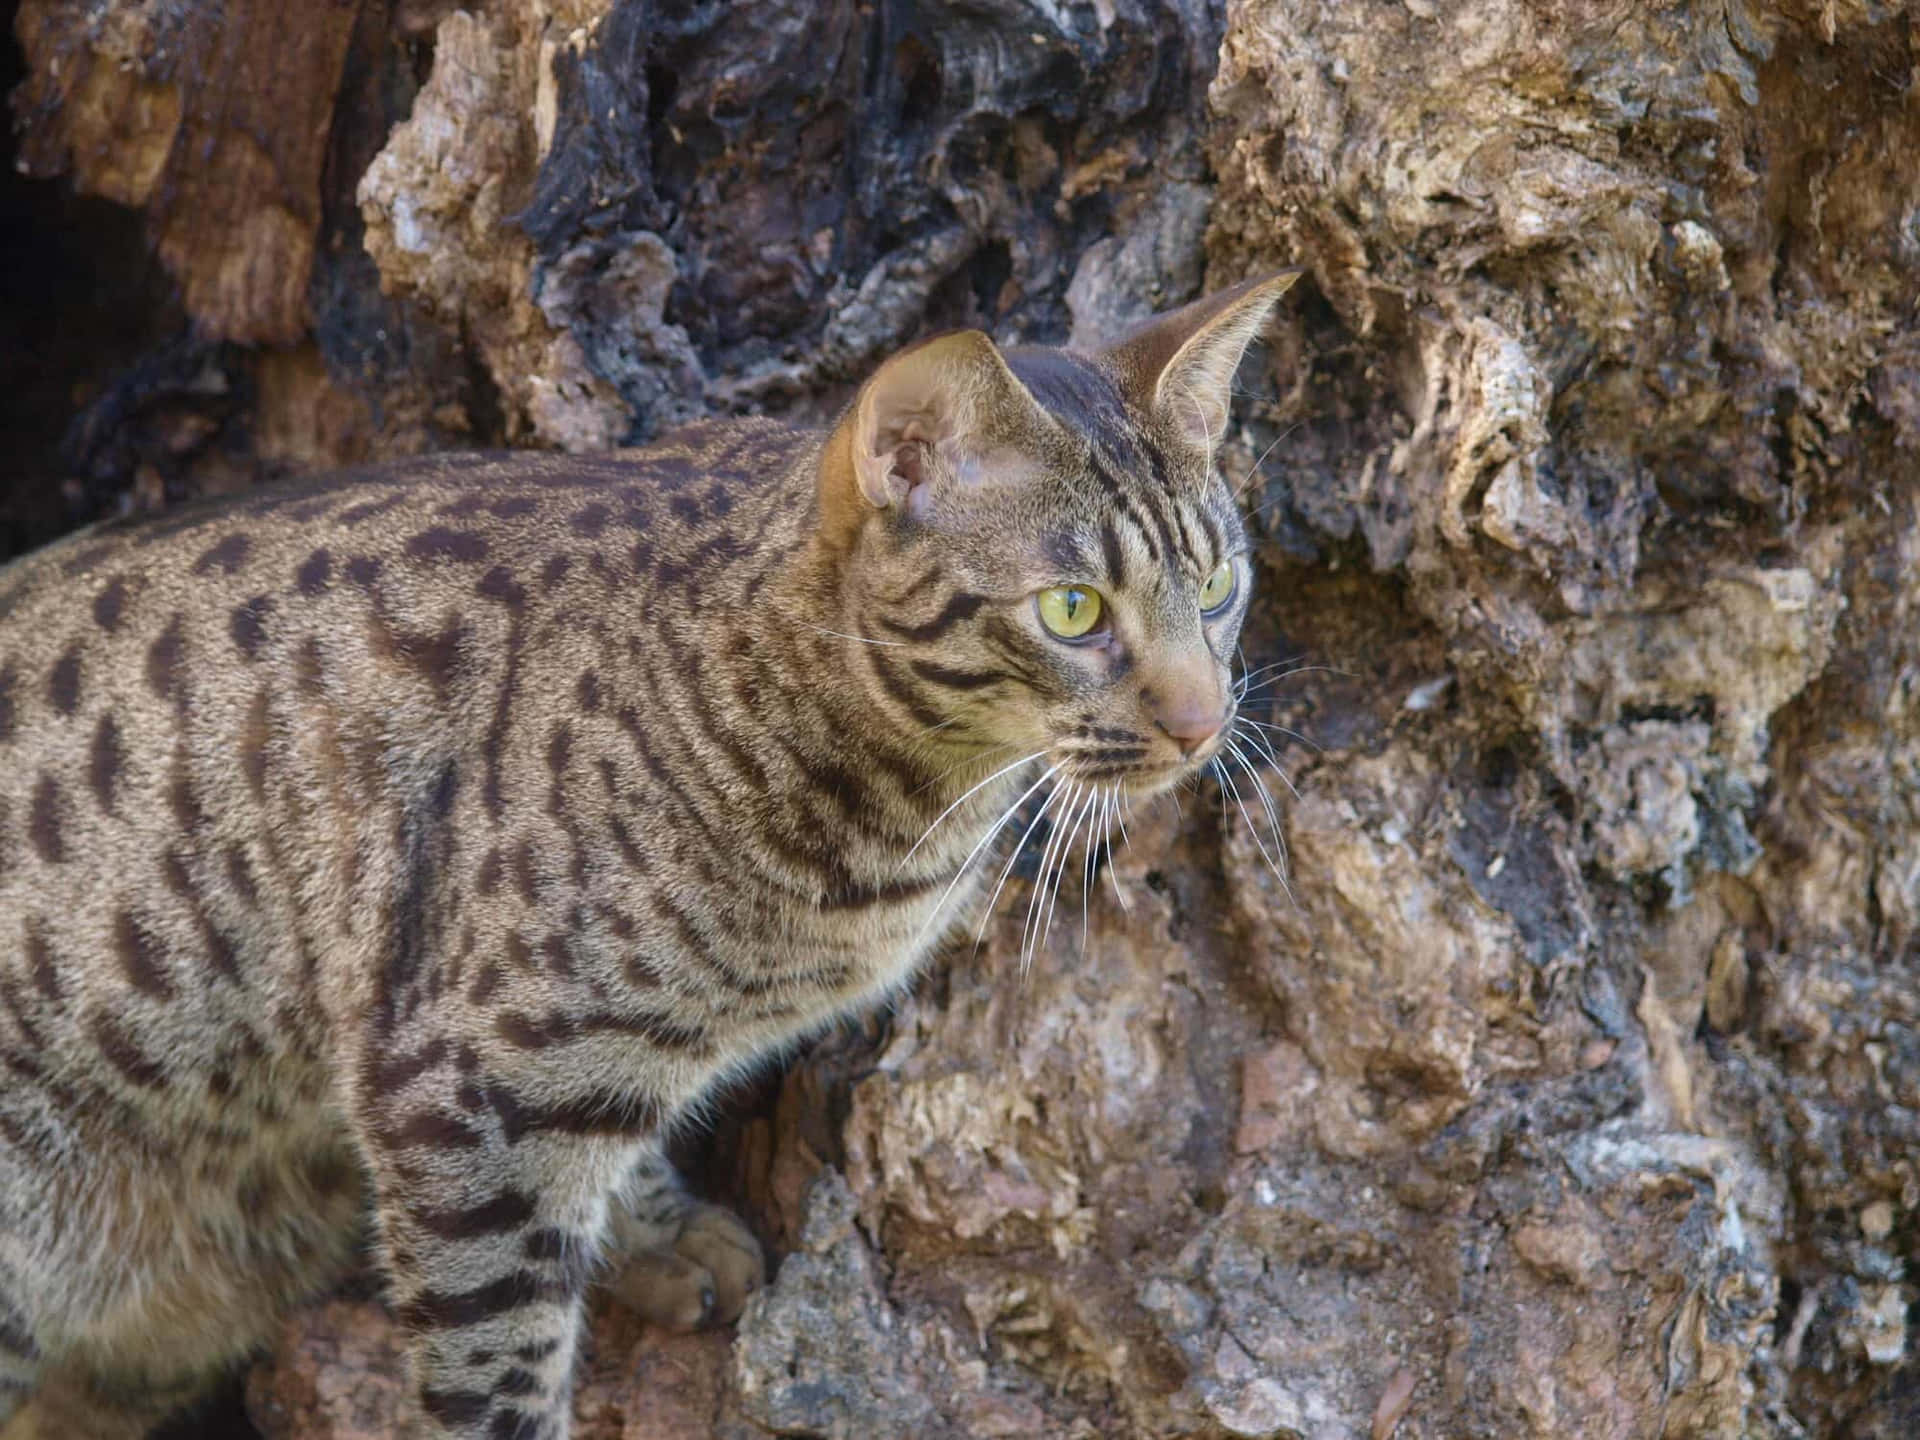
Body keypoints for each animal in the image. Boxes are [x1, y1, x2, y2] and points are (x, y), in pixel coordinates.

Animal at [0, 272, 1305, 1440]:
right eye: (1073, 611)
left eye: (1217, 584)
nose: (1206, 723)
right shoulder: (460, 1088)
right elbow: (499, 1362)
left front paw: (658, 1234)